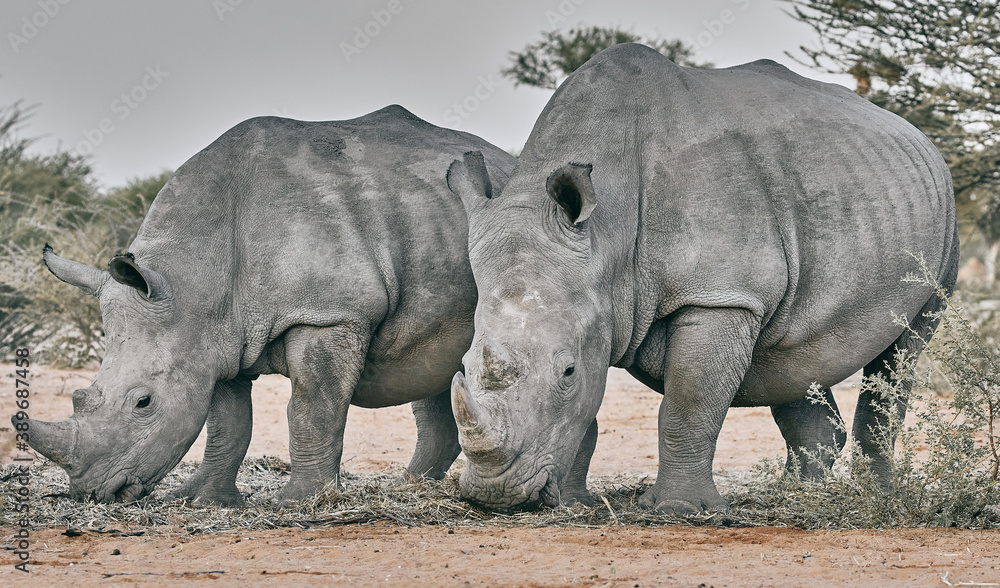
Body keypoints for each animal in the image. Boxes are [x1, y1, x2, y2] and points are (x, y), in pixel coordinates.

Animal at [22, 105, 516, 505]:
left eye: (143, 403)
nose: (90, 491)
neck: (191, 279)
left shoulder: (327, 315)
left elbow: (311, 410)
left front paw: (296, 502)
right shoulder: (217, 337)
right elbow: (228, 424)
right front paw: (203, 500)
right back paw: (408, 488)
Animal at [445, 44, 959, 513]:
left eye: (566, 371)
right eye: (465, 365)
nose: (496, 496)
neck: (607, 231)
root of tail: (923, 140)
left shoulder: (720, 295)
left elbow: (688, 403)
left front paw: (679, 510)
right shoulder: (595, 303)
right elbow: (587, 411)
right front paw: (576, 505)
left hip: (945, 222)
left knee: (903, 351)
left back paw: (876, 498)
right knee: (795, 356)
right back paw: (799, 495)